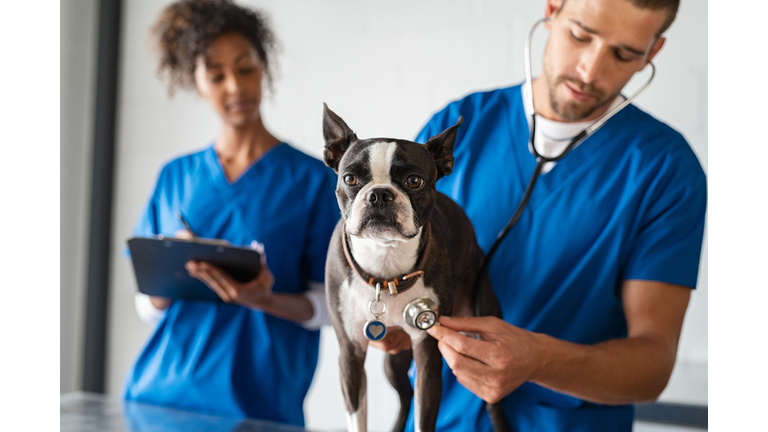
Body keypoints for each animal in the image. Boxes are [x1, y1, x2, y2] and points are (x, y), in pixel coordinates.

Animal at [322, 104, 510, 432]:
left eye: (414, 181)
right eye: (350, 179)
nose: (379, 194)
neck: (385, 266)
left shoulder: (427, 353)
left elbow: (424, 416)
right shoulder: (350, 354)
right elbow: (358, 417)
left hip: (479, 324)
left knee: (491, 400)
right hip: (393, 361)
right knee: (405, 394)